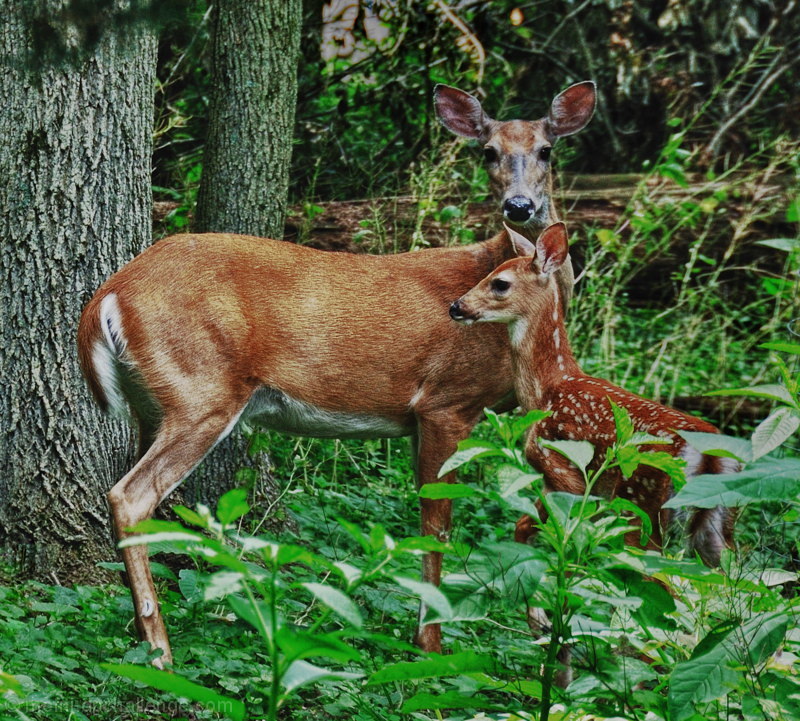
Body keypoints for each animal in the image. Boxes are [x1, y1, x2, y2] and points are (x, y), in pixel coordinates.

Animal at [79, 80, 592, 664]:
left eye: (547, 150)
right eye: (488, 151)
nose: (519, 206)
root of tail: (109, 294)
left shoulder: (423, 420)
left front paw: (535, 624)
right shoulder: (446, 402)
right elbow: (437, 525)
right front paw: (431, 644)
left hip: (153, 403)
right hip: (201, 390)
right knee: (130, 496)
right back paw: (161, 647)